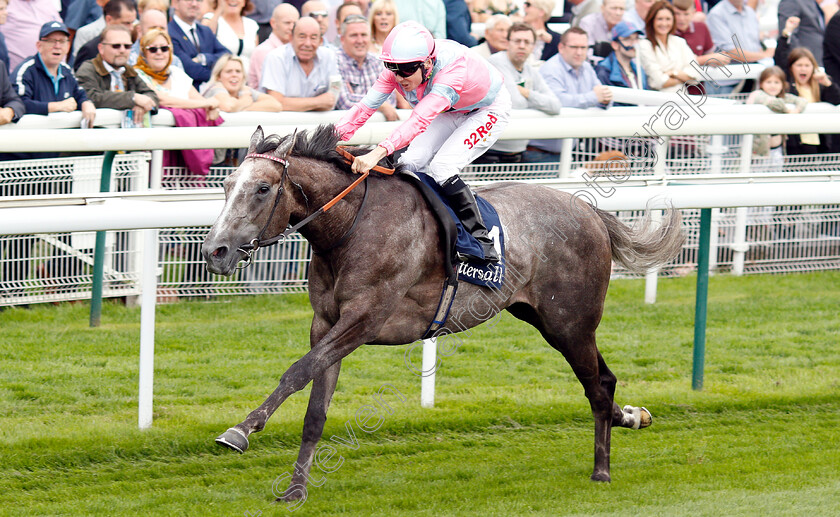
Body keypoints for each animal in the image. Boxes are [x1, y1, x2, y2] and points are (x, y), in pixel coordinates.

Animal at [200, 124, 684, 492]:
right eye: (225, 185)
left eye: (262, 189)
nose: (214, 251)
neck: (350, 227)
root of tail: (589, 211)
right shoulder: (327, 325)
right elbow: (315, 407)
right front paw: (296, 489)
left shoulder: (363, 320)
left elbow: (296, 371)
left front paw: (239, 431)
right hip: (548, 320)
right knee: (605, 379)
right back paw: (632, 416)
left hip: (570, 323)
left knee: (596, 387)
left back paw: (602, 470)